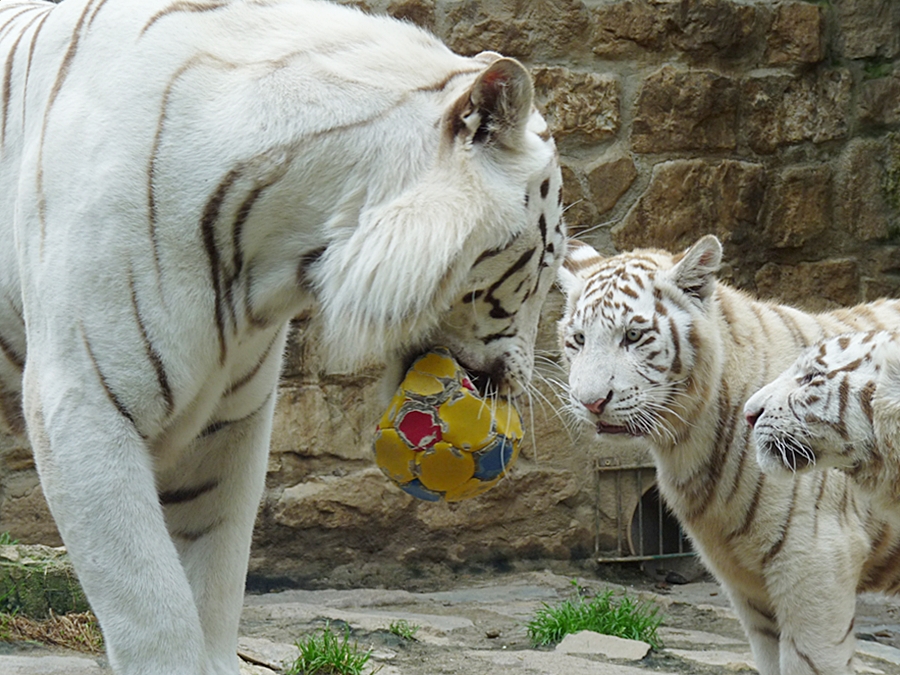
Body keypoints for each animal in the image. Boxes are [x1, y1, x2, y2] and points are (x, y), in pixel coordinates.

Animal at [0, 1, 568, 675]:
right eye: (545, 258)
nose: (521, 380)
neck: (275, 248)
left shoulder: (230, 420)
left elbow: (215, 577)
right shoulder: (85, 402)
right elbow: (151, 604)